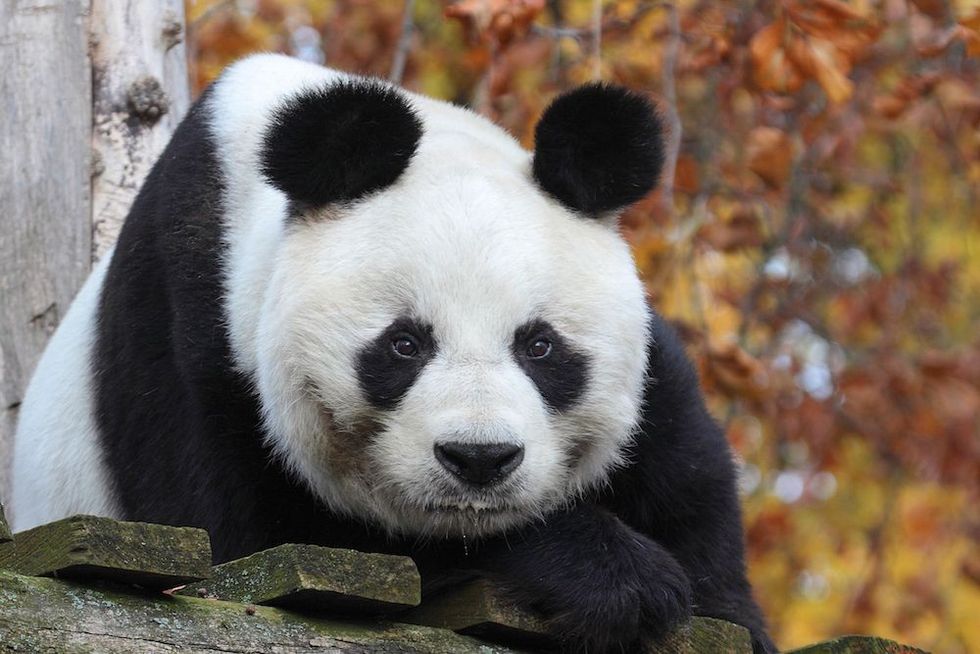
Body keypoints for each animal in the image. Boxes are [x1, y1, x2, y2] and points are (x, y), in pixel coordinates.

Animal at [10, 54, 775, 653]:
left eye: (540, 346)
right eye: (404, 345)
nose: (479, 459)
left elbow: (691, 489)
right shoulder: (193, 338)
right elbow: (259, 539)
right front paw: (614, 576)